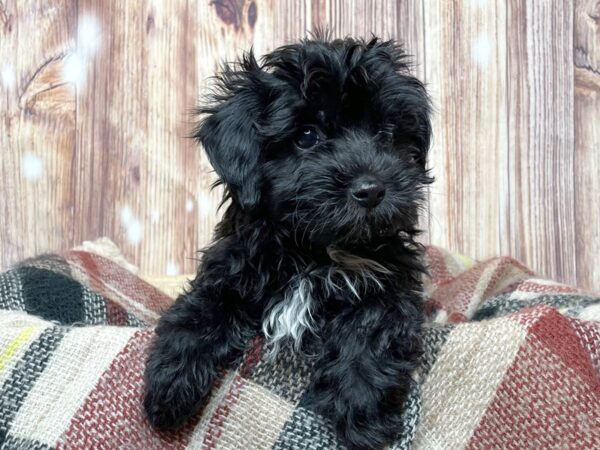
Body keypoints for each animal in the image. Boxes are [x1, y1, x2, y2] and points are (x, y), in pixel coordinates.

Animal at [145, 36, 432, 450]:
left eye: (386, 134)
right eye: (307, 136)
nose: (371, 190)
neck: (312, 251)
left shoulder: (391, 280)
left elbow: (371, 328)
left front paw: (364, 416)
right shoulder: (230, 268)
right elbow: (198, 311)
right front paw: (168, 387)